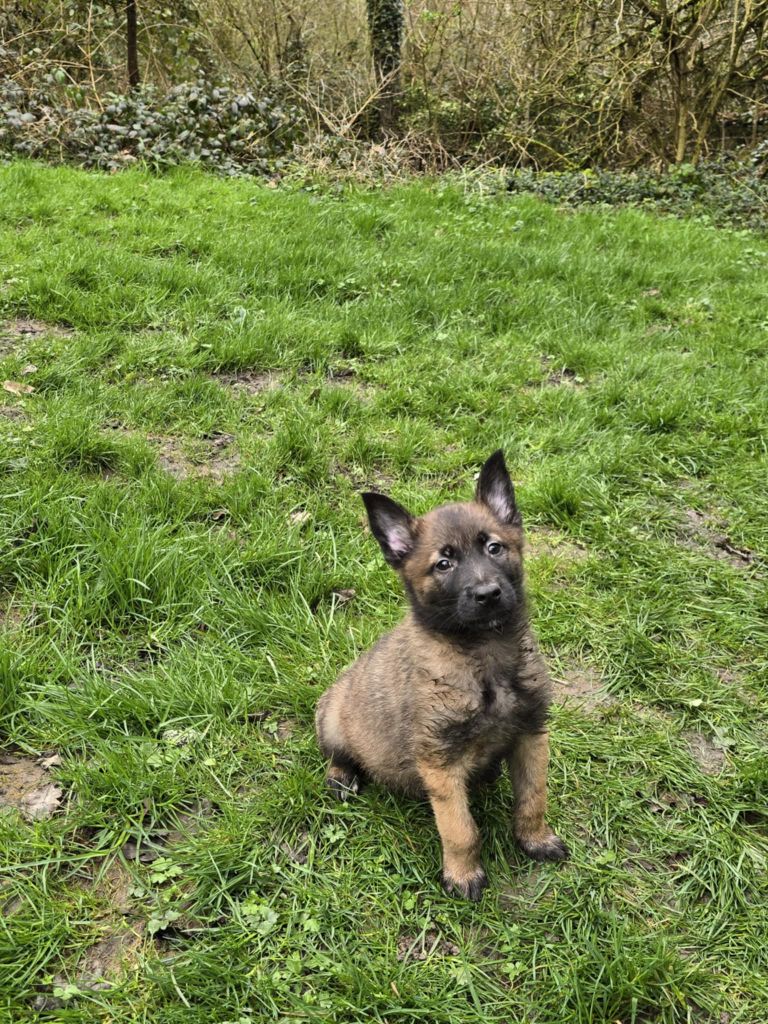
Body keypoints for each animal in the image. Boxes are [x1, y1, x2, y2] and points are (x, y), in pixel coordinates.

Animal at [313, 452, 573, 901]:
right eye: (444, 564)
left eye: (494, 547)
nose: (487, 594)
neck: (484, 652)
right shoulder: (440, 762)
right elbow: (461, 830)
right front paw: (463, 875)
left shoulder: (531, 734)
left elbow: (533, 798)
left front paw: (535, 839)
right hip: (331, 718)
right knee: (338, 756)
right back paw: (342, 777)